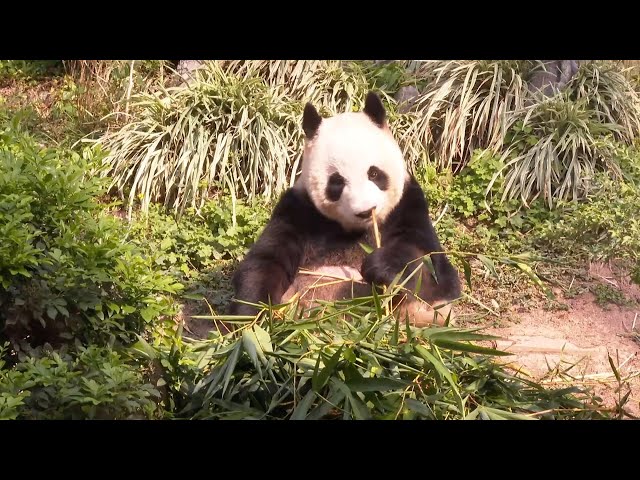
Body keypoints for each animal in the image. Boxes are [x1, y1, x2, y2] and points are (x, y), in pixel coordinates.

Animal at [228, 90, 462, 326]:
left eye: (374, 173)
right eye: (337, 182)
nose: (365, 211)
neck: (355, 229)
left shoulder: (408, 205)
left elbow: (435, 272)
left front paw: (382, 267)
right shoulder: (297, 210)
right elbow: (265, 262)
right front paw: (249, 321)